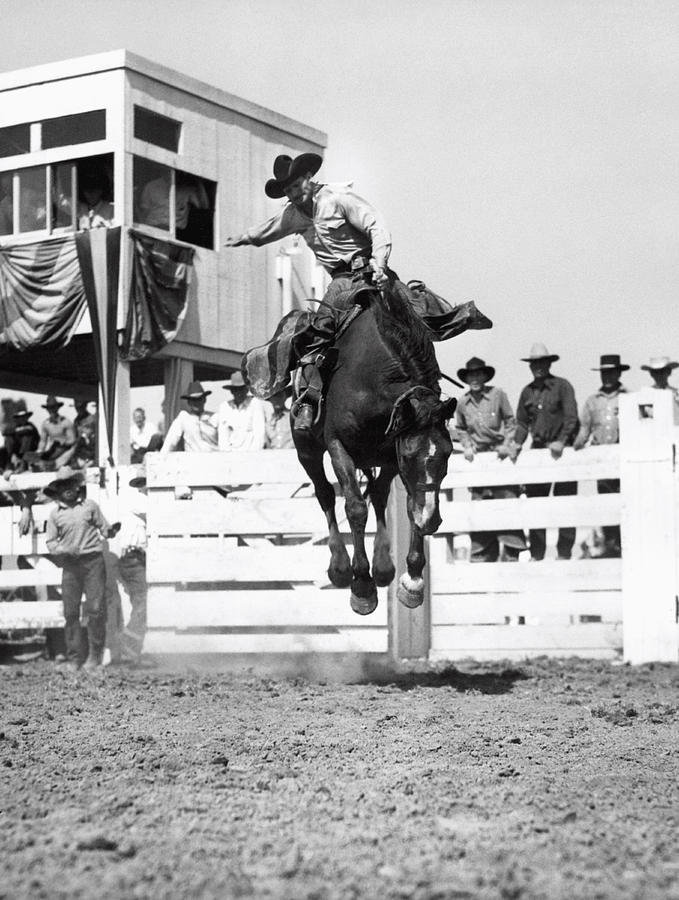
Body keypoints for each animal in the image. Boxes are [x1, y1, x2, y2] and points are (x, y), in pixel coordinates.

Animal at [294, 284, 456, 616]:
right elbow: (355, 508)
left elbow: (406, 503)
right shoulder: (339, 447)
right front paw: (362, 586)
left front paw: (412, 581)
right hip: (307, 449)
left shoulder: (391, 455)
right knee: (325, 494)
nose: (431, 520)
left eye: (447, 453)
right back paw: (341, 567)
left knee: (378, 496)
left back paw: (383, 567)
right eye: (410, 455)